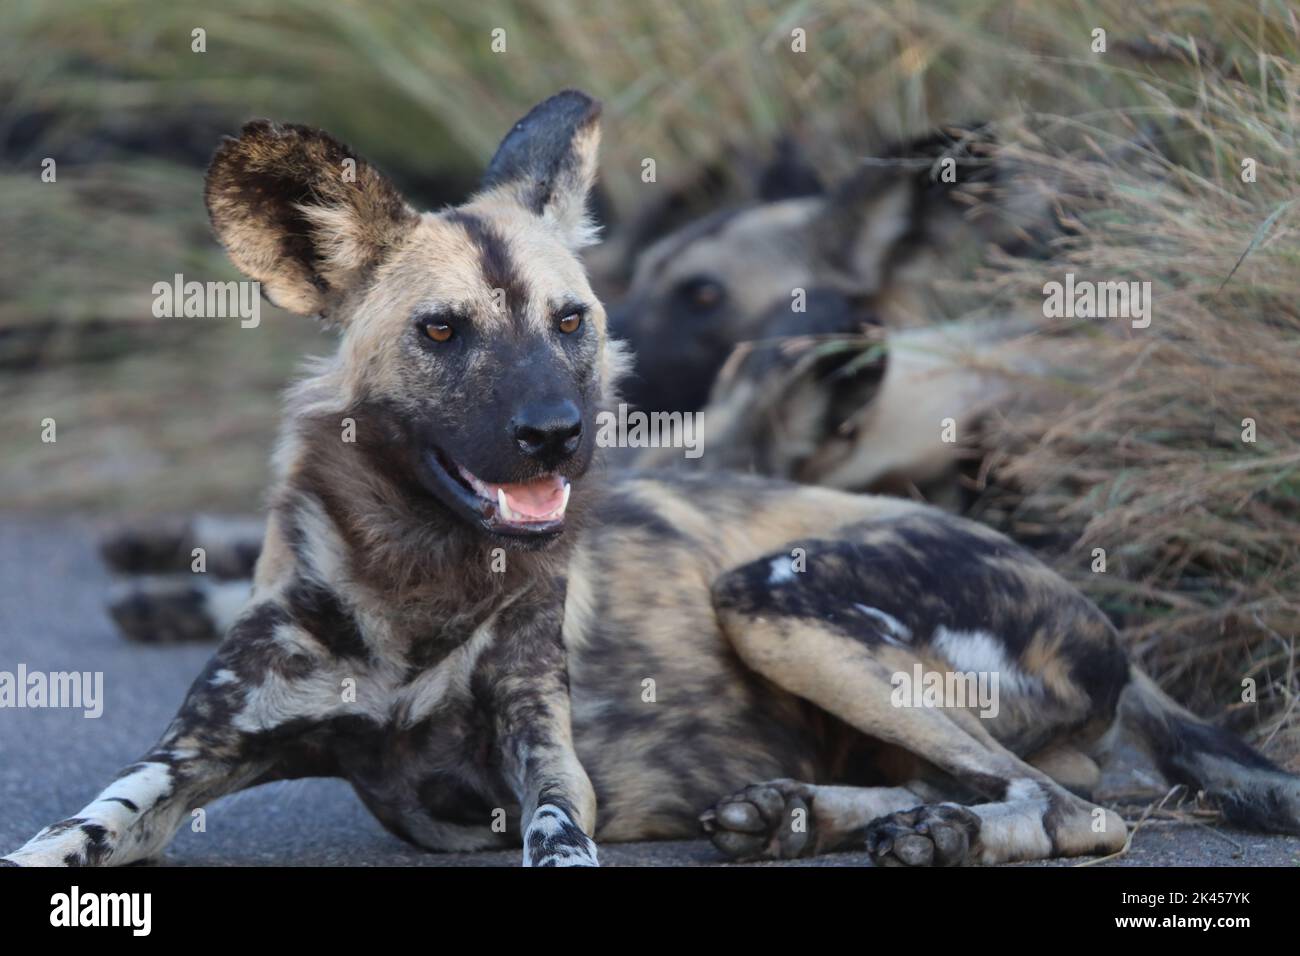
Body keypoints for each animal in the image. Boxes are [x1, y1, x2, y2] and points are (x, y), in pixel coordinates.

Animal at [10, 91, 1300, 868]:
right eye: (441, 331)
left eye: (573, 320)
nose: (560, 434)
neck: (412, 585)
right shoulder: (186, 763)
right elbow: (80, 830)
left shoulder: (542, 762)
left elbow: (559, 836)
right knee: (994, 782)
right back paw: (802, 813)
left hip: (774, 596)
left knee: (1071, 804)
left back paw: (912, 828)